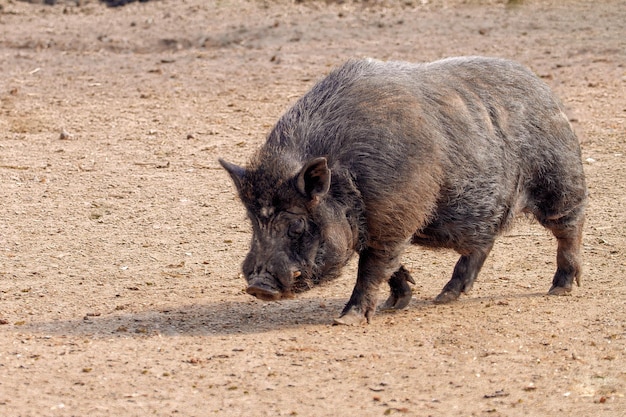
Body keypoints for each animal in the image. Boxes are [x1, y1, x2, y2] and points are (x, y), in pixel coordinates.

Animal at [218, 57, 584, 324]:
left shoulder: (393, 220)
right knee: (482, 244)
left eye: (296, 224)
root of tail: (544, 88)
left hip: (560, 180)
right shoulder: (387, 225)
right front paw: (395, 304)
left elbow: (372, 268)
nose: (258, 287)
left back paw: (559, 290)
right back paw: (443, 298)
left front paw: (346, 320)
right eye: (254, 222)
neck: (347, 181)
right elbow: (385, 265)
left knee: (570, 228)